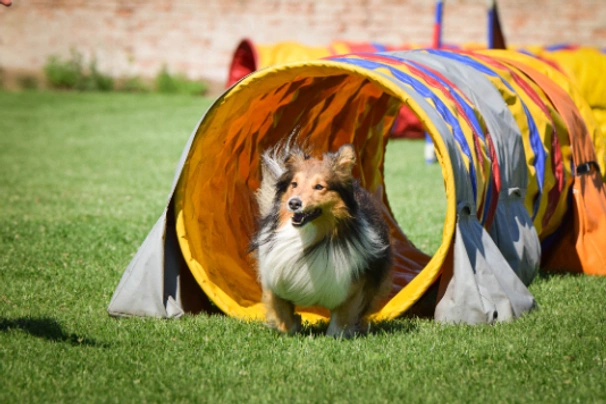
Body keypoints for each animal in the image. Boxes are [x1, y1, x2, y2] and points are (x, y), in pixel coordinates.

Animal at [252, 140, 394, 336]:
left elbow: (342, 317)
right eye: (294, 184)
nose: (294, 203)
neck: (307, 235)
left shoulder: (353, 285)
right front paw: (293, 325)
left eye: (319, 187)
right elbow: (282, 315)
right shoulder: (274, 276)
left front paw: (336, 336)